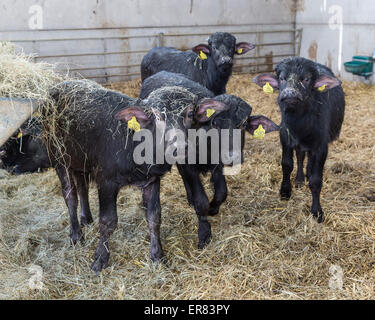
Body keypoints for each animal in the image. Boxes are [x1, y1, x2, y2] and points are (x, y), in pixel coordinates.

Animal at [254, 57, 346, 222]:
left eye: (307, 79)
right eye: (282, 78)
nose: (290, 93)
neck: (299, 124)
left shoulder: (321, 147)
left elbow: (316, 179)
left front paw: (317, 211)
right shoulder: (285, 138)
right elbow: (287, 165)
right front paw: (285, 191)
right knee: (301, 156)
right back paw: (299, 179)